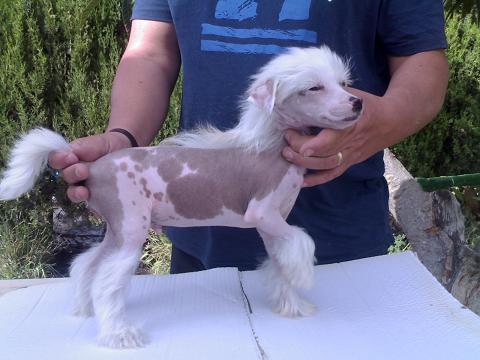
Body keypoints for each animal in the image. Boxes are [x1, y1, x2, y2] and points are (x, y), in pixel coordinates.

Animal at [0, 45, 360, 348]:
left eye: (343, 83)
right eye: (313, 88)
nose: (358, 103)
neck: (269, 144)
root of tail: (91, 166)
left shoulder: (272, 226)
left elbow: (282, 260)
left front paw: (292, 305)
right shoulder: (263, 214)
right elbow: (302, 242)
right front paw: (305, 275)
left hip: (118, 230)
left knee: (87, 265)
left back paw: (86, 309)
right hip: (131, 230)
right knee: (106, 281)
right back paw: (119, 334)